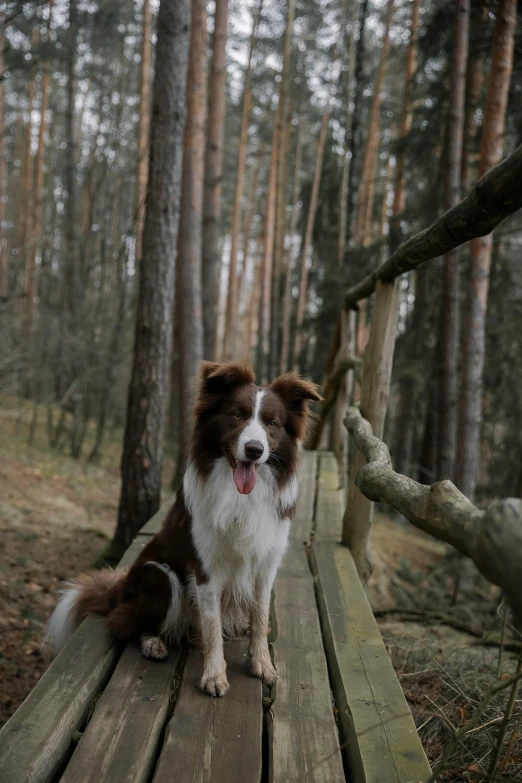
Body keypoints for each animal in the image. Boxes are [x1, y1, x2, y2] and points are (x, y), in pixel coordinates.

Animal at [48, 362, 318, 700]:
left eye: (272, 424)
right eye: (236, 415)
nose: (255, 450)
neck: (239, 494)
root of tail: (119, 588)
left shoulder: (265, 562)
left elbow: (260, 614)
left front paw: (262, 664)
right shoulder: (205, 567)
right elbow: (212, 624)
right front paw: (214, 675)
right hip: (160, 575)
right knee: (124, 622)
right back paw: (153, 642)